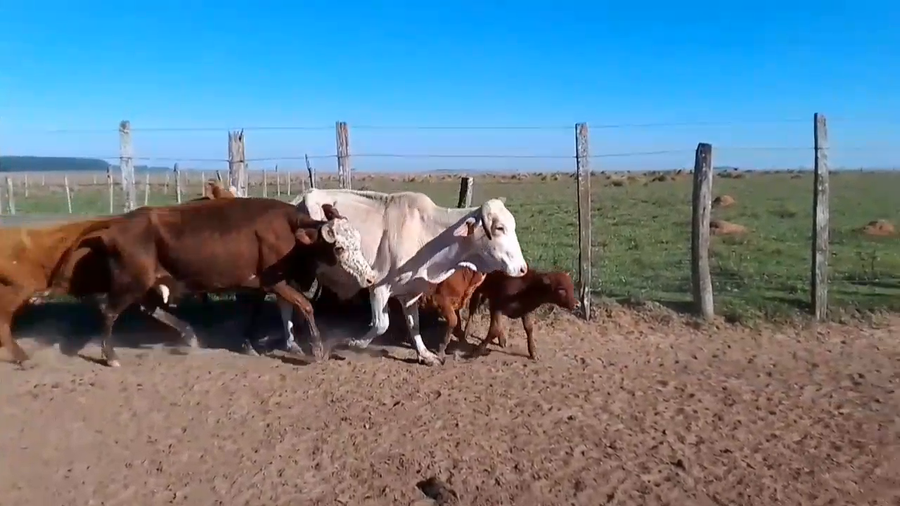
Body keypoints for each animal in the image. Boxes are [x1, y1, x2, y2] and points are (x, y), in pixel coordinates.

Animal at [50, 197, 376, 367]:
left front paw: (248, 343)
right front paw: (318, 350)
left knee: (149, 308)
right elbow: (306, 306)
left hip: (145, 282)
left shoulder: (259, 283)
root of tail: (116, 224)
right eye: (339, 248)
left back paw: (190, 335)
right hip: (129, 282)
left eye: (357, 240)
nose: (371, 276)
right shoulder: (274, 282)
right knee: (110, 312)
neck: (290, 233)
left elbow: (255, 311)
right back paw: (111, 356)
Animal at [277, 188, 528, 367]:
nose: (523, 269)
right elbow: (381, 324)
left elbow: (414, 324)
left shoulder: (411, 291)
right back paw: (291, 341)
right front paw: (355, 342)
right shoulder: (378, 287)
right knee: (286, 303)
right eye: (499, 228)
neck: (427, 235)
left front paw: (425, 354)